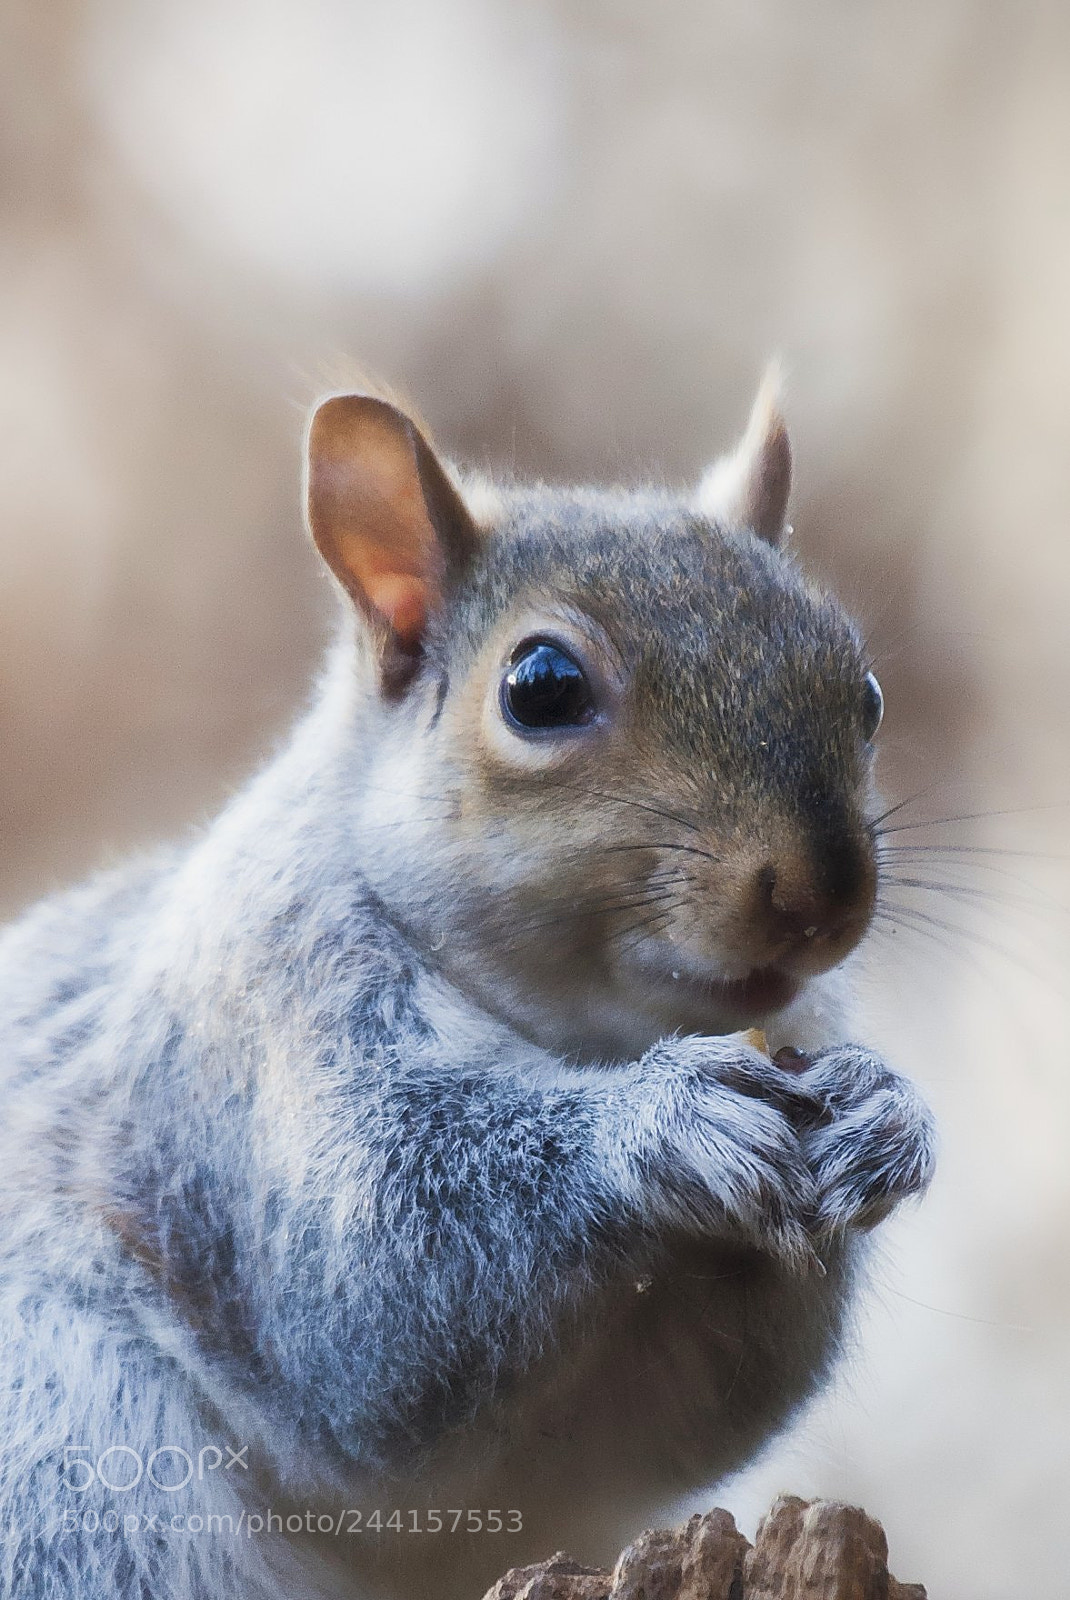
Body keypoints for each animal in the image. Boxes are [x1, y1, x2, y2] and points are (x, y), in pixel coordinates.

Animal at [0, 374, 934, 1600]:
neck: (581, 1028)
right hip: (73, 1462)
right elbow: (367, 1296)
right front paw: (664, 1119)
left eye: (864, 690)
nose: (823, 895)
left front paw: (885, 1111)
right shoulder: (252, 1055)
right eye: (541, 688)